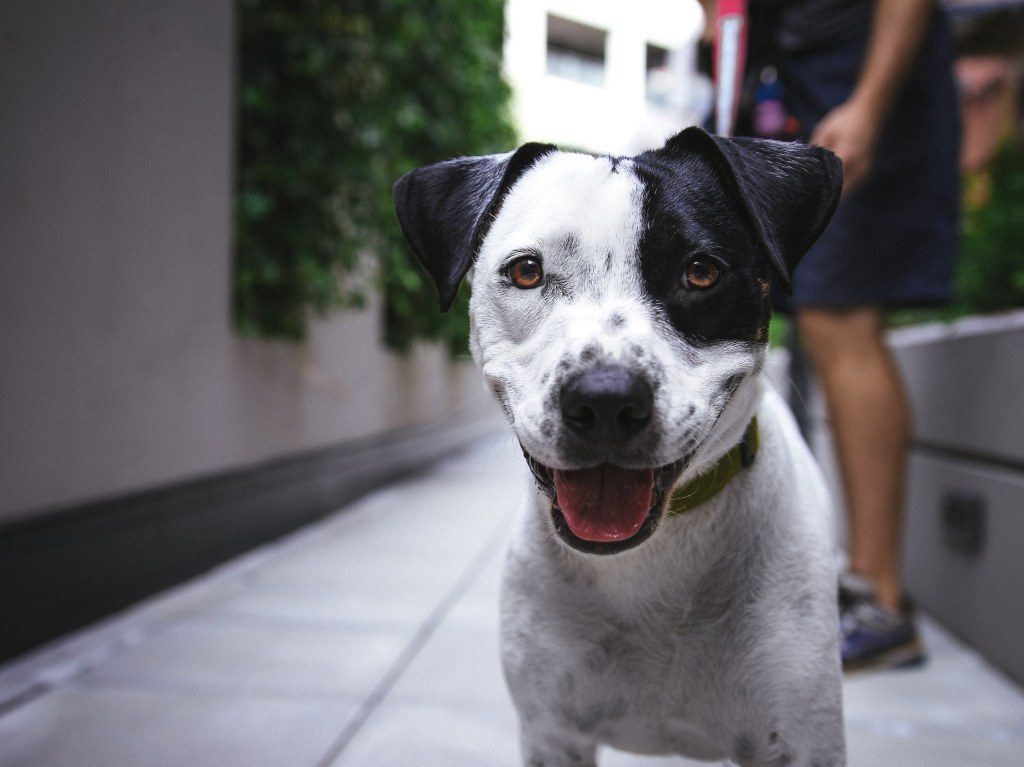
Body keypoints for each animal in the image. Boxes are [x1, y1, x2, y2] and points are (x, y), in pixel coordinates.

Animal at [391, 126, 847, 765]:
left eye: (701, 272)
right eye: (526, 271)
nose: (605, 400)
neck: (652, 560)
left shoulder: (801, 739)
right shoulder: (552, 734)